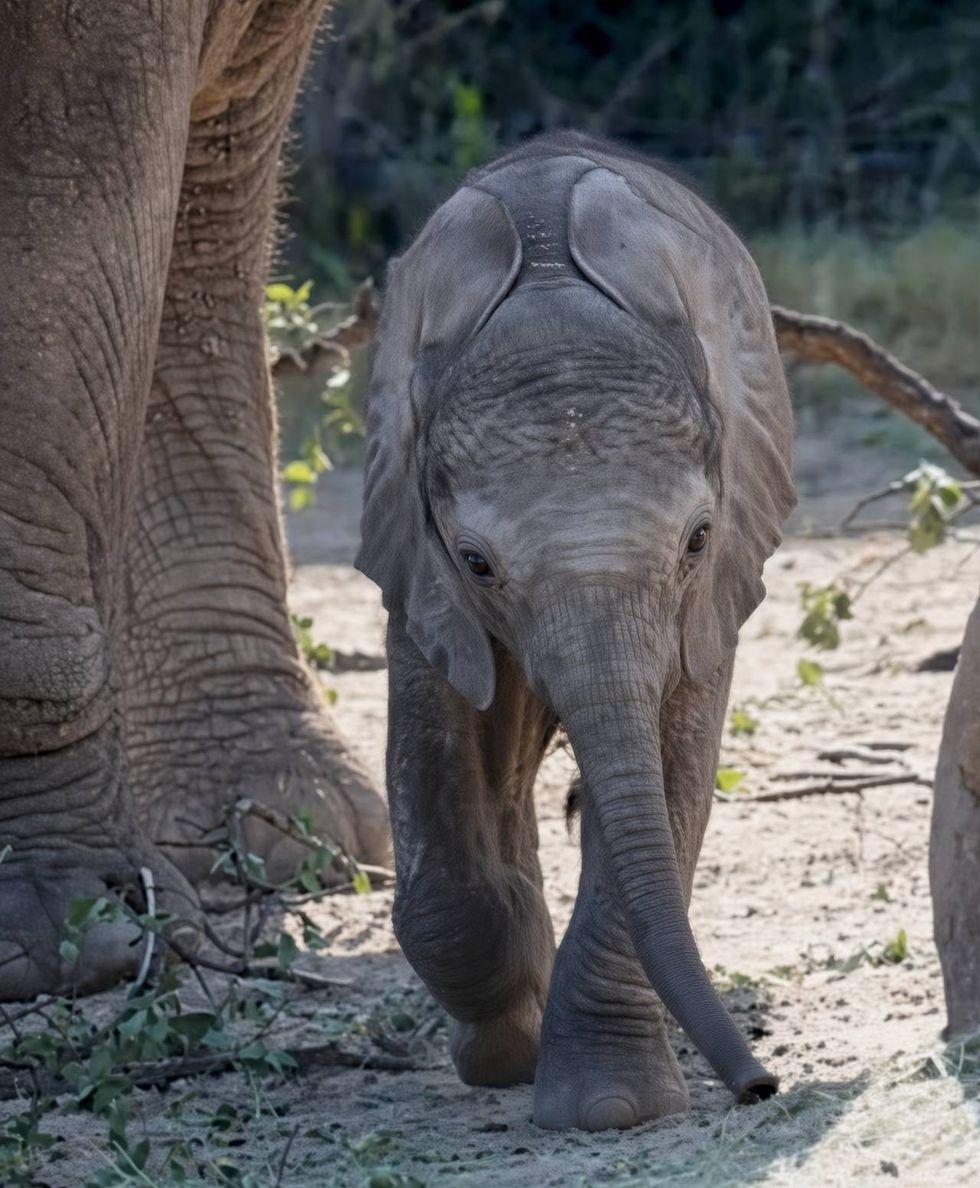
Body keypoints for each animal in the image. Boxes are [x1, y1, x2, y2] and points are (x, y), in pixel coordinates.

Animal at [356, 132, 796, 1131]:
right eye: (477, 562)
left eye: (698, 537)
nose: (760, 1085)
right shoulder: (416, 555)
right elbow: (442, 742)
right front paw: (506, 1055)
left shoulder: (712, 585)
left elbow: (670, 770)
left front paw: (609, 1109)